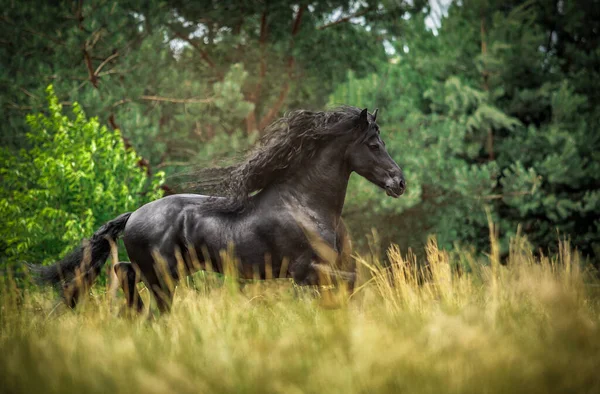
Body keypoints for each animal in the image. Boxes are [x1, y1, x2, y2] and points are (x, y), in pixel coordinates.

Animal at [28, 106, 404, 312]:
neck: (305, 205)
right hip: (163, 278)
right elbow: (348, 284)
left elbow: (349, 287)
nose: (399, 182)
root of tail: (133, 215)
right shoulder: (305, 271)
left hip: (165, 274)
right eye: (373, 144)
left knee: (125, 273)